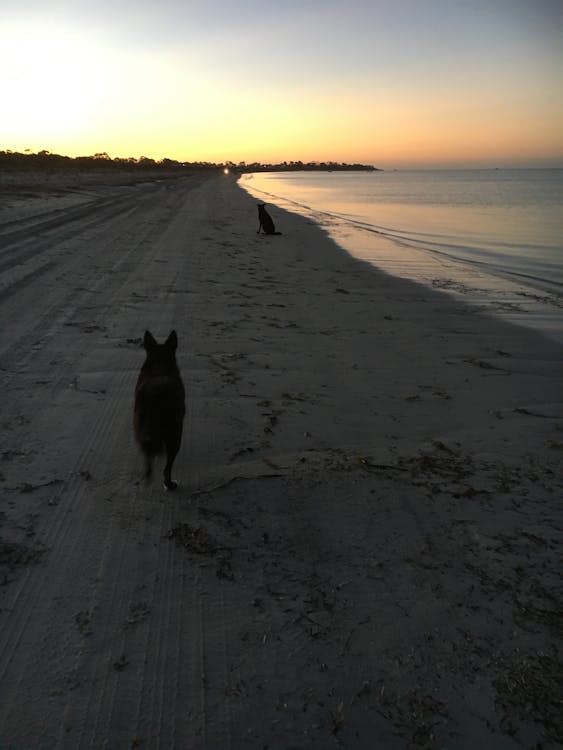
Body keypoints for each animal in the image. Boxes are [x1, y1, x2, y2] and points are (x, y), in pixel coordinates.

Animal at [134, 332, 185, 490]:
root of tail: (156, 393)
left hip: (141, 426)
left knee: (147, 456)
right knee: (167, 467)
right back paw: (169, 484)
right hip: (175, 433)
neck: (159, 365)